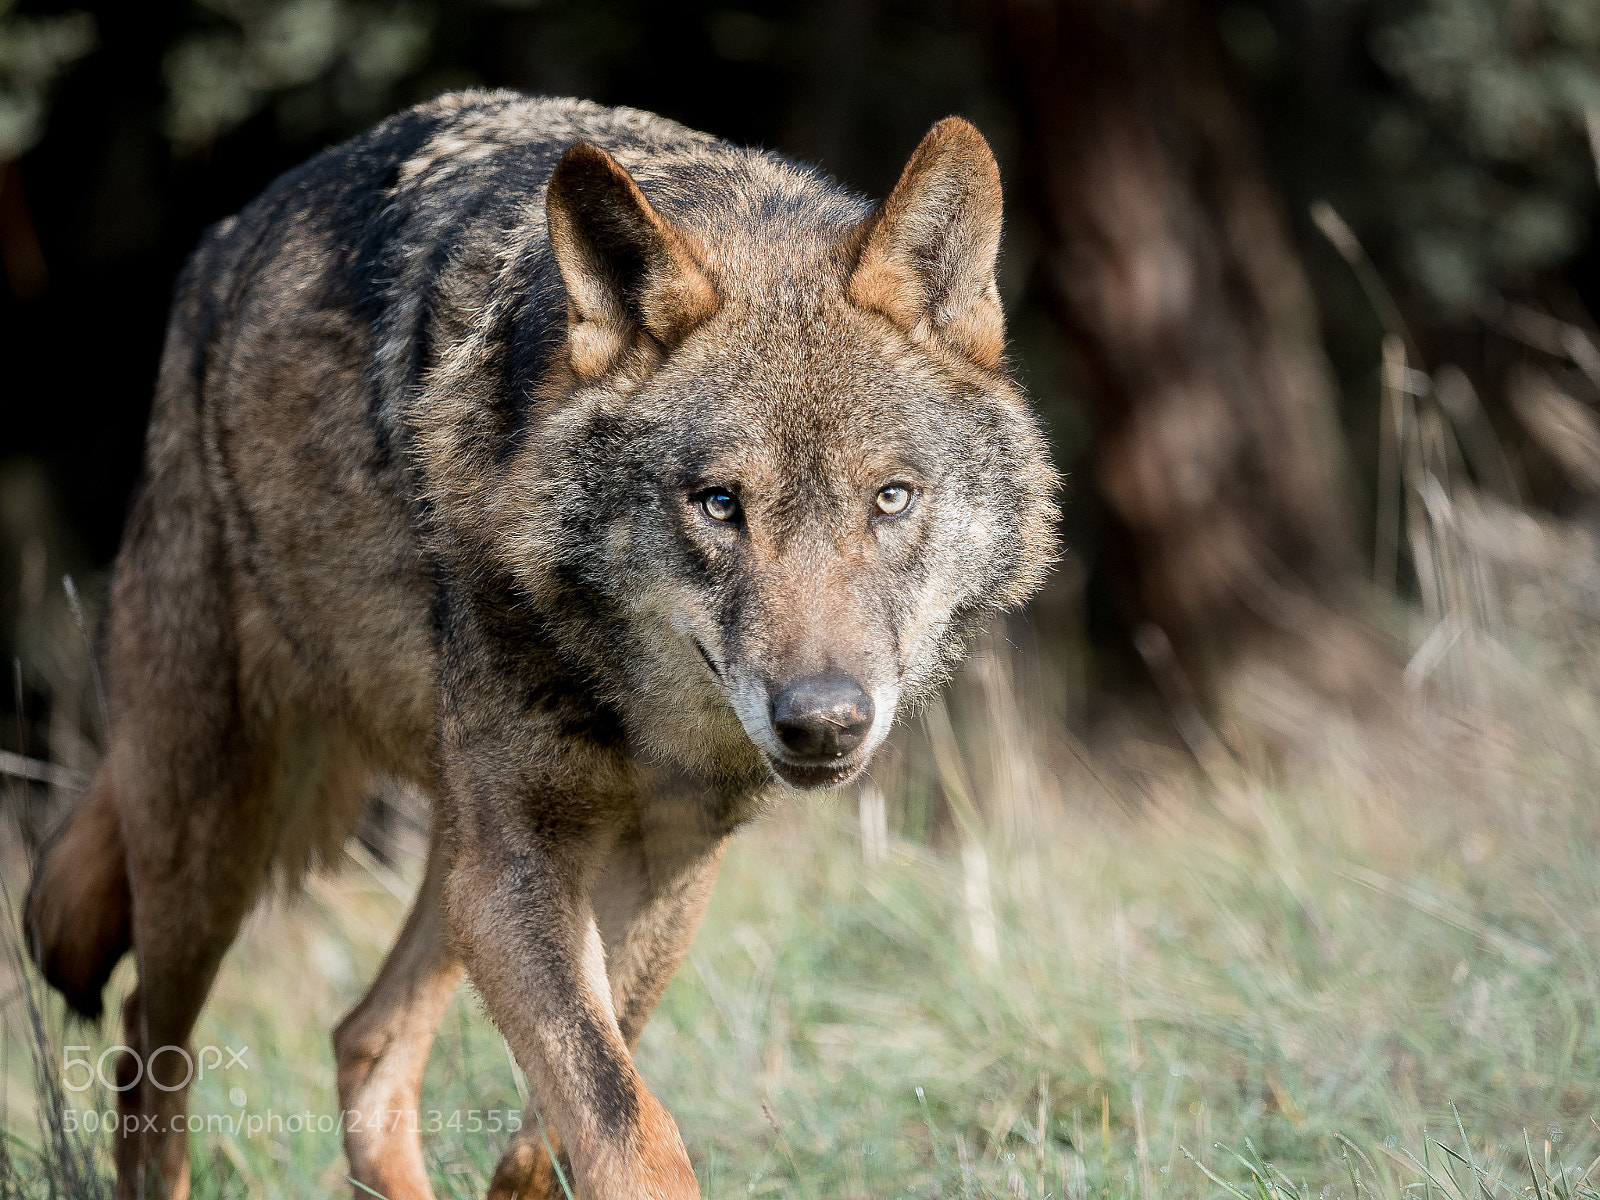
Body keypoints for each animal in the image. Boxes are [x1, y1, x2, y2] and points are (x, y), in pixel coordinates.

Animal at [25, 91, 1057, 1199]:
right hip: (219, 835)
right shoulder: (518, 867)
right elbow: (627, 1130)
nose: (823, 721)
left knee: (364, 1039)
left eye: (892, 499)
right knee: (149, 1047)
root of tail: (221, 243)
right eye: (719, 504)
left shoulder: (664, 864)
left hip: (443, 853)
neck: (622, 700)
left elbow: (557, 1131)